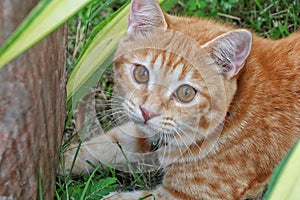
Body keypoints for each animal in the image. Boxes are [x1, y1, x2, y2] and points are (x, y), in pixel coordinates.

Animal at [61, 0, 300, 198]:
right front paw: (60, 161)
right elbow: (98, 146)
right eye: (141, 73)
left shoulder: (187, 195)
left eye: (186, 93)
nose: (147, 112)